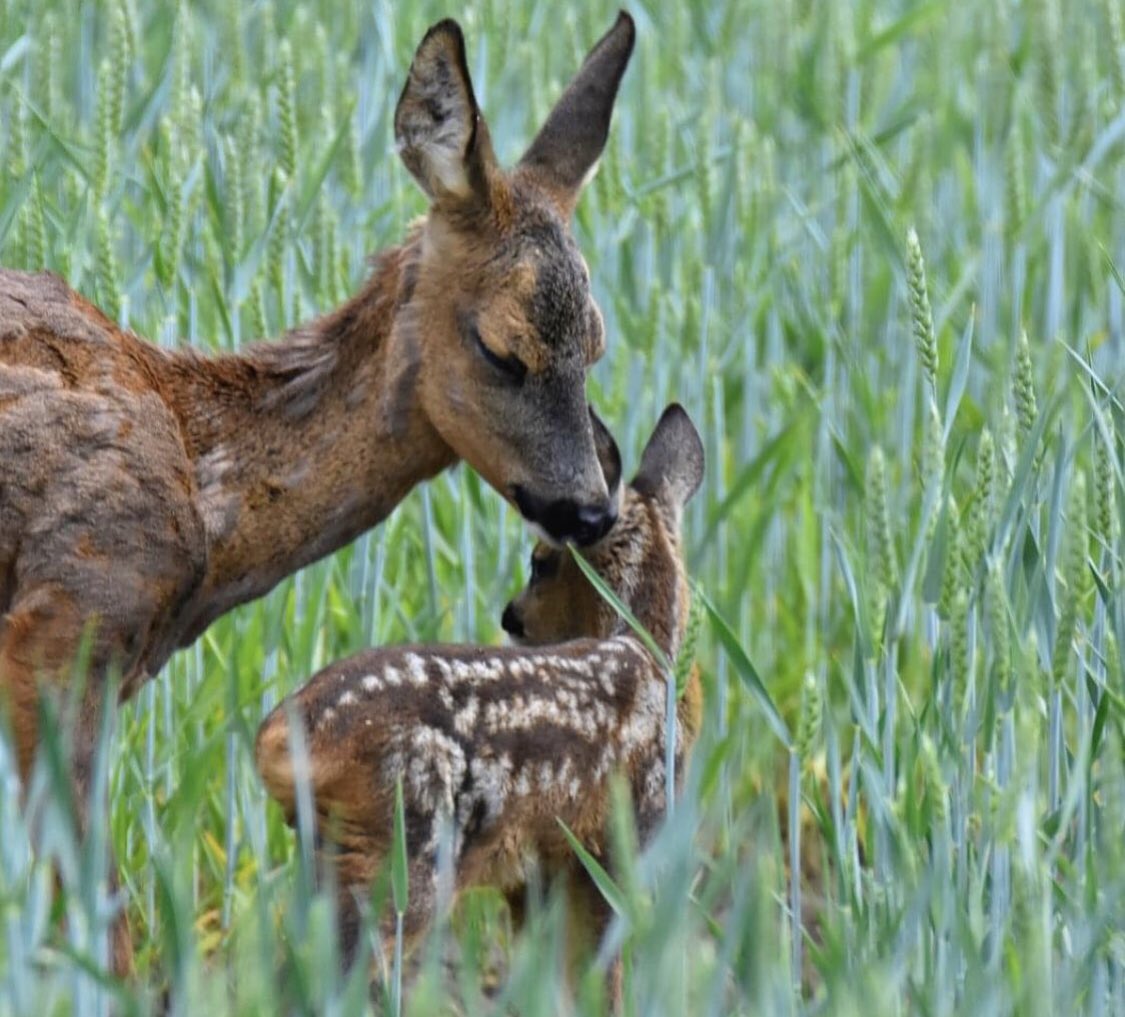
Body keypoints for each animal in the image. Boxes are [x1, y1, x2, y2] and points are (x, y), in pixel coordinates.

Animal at [0, 13, 635, 970]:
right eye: (502, 350)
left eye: (596, 342)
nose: (589, 508)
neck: (205, 479)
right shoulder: (59, 623)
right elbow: (94, 917)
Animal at [254, 403, 705, 1004]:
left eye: (540, 562)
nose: (511, 616)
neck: (651, 650)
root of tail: (281, 734)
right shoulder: (621, 841)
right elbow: (601, 982)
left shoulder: (538, 874)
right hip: (405, 848)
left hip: (323, 847)